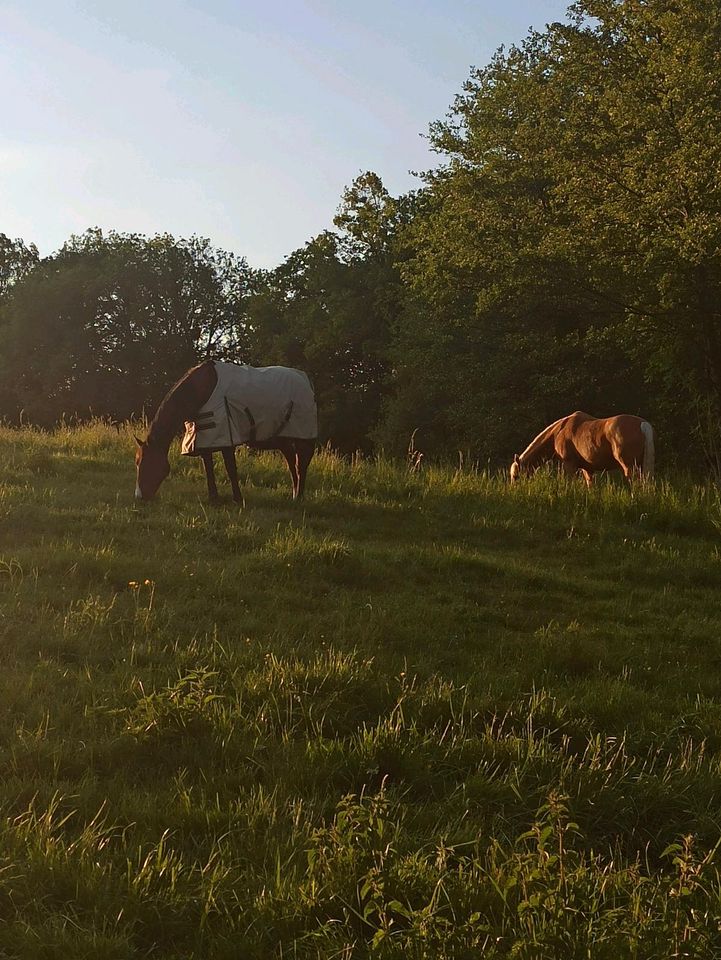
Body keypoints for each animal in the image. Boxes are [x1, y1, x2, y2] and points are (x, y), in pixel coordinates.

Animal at [135, 362, 316, 506]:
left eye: (147, 463)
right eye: (137, 462)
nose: (140, 497)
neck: (201, 389)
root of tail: (304, 380)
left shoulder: (227, 436)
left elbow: (231, 469)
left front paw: (238, 499)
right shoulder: (206, 436)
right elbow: (208, 467)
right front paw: (214, 498)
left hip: (303, 437)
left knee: (301, 465)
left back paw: (299, 497)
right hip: (283, 439)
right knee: (292, 464)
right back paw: (294, 495)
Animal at [510, 412, 656, 488]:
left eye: (516, 476)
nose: (514, 490)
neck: (558, 432)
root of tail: (643, 425)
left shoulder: (569, 465)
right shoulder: (588, 469)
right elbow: (590, 486)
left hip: (629, 466)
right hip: (641, 466)